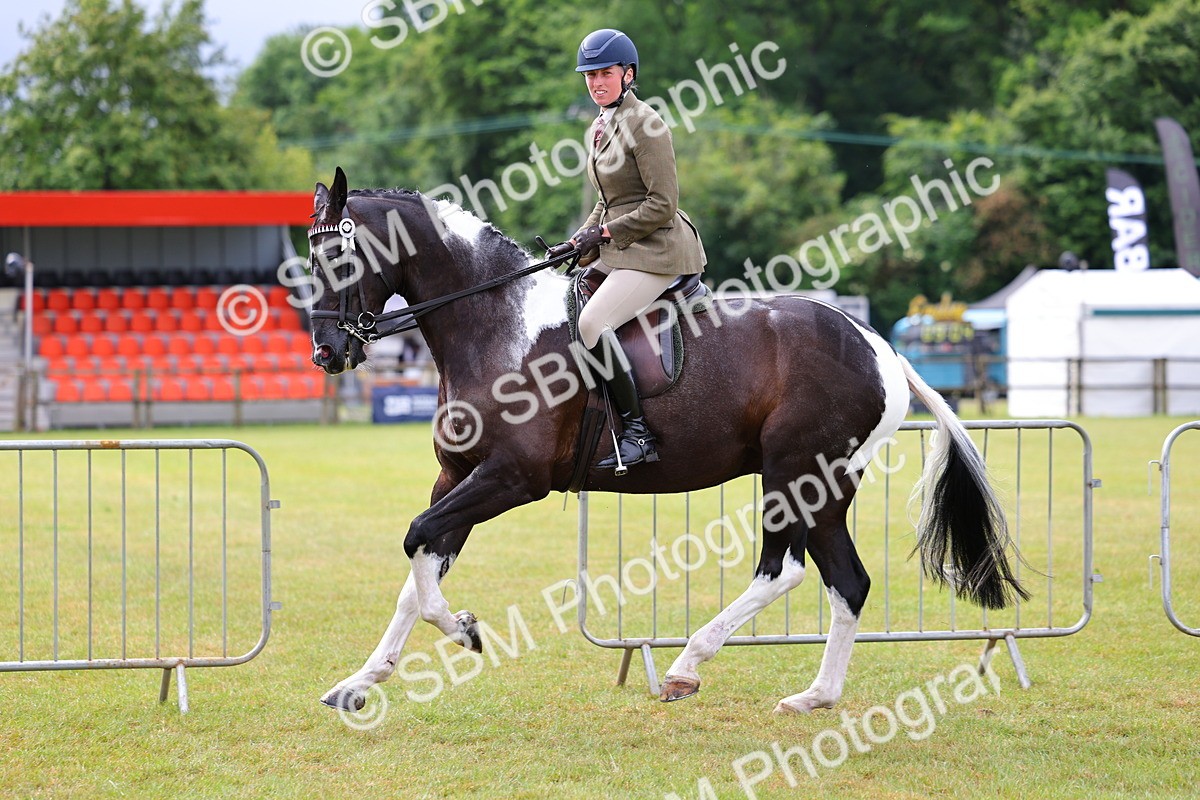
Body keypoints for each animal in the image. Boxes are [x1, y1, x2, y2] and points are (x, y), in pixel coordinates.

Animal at [306, 167, 1027, 714]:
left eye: (338, 256)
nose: (327, 353)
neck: (496, 323)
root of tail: (877, 344)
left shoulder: (513, 478)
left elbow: (416, 541)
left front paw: (463, 631)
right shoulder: (458, 477)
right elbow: (421, 562)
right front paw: (359, 683)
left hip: (796, 475)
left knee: (789, 569)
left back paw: (690, 665)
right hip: (820, 486)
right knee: (843, 581)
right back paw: (814, 696)